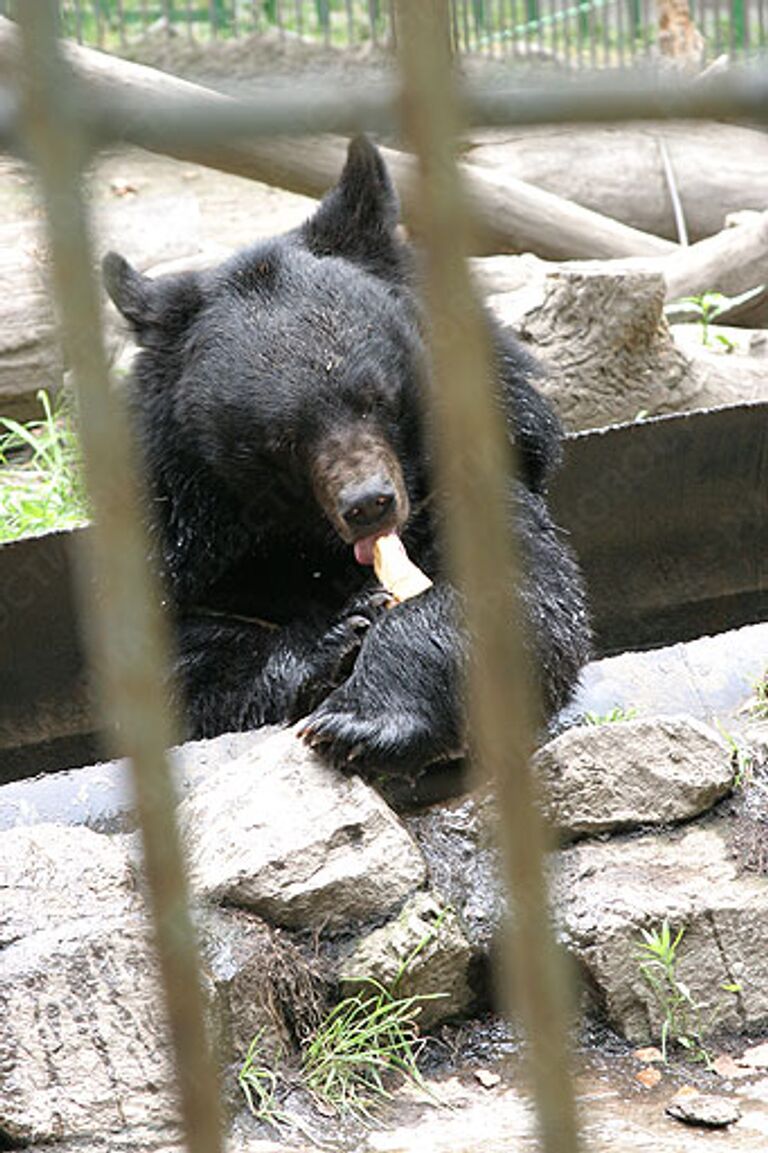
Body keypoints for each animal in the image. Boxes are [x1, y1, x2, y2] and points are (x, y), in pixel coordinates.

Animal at [101, 134, 588, 774]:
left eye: (376, 398)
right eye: (279, 440)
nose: (368, 504)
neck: (308, 544)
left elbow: (519, 593)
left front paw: (362, 721)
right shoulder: (183, 532)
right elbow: (180, 669)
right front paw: (336, 637)